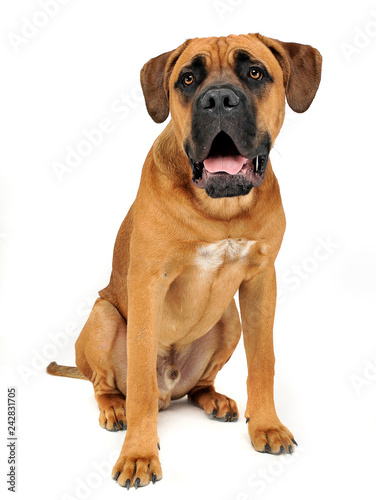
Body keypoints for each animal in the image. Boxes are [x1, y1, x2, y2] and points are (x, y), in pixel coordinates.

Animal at [47, 34, 324, 488]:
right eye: (188, 80)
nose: (219, 100)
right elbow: (140, 382)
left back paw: (214, 399)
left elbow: (263, 361)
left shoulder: (261, 282)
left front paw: (266, 426)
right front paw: (139, 454)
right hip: (103, 315)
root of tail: (171, 389)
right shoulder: (149, 283)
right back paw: (115, 408)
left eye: (255, 72)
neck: (220, 209)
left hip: (229, 320)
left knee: (199, 385)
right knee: (106, 384)